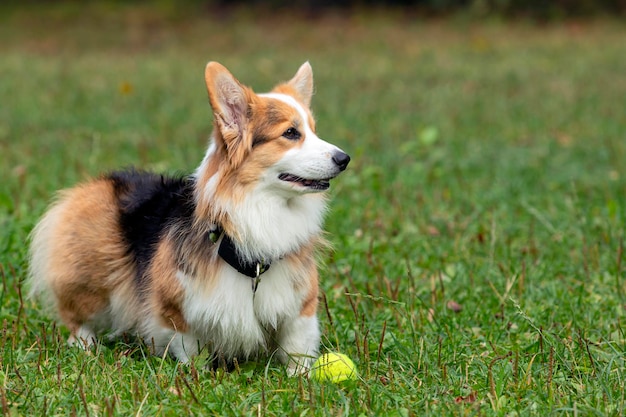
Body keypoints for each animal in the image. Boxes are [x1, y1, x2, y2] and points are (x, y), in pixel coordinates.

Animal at [28, 61, 346, 374]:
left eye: (314, 131)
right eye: (291, 133)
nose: (345, 159)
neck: (260, 209)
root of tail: (99, 183)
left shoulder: (299, 306)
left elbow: (297, 348)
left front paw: (300, 378)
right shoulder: (176, 308)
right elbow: (190, 349)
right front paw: (198, 377)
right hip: (93, 279)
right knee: (76, 316)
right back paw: (85, 346)